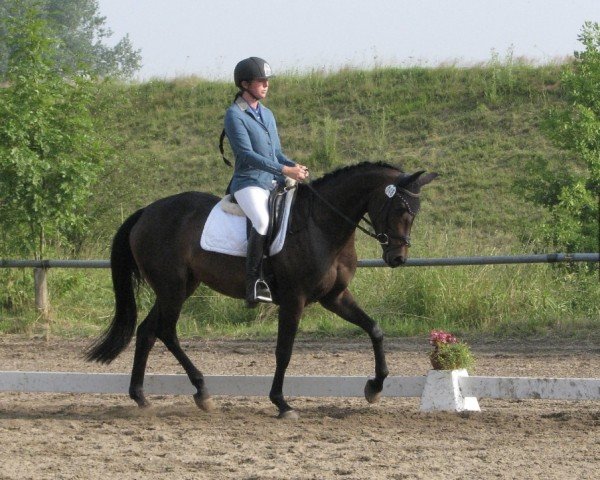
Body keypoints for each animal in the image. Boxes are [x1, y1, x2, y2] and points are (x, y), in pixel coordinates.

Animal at [85, 160, 436, 416]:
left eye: (415, 214)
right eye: (400, 210)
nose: (397, 258)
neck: (321, 225)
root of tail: (147, 211)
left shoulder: (334, 297)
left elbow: (374, 329)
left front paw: (374, 387)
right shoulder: (294, 299)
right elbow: (284, 351)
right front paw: (281, 403)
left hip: (179, 287)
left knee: (147, 331)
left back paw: (141, 396)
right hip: (172, 288)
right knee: (166, 331)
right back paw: (201, 391)